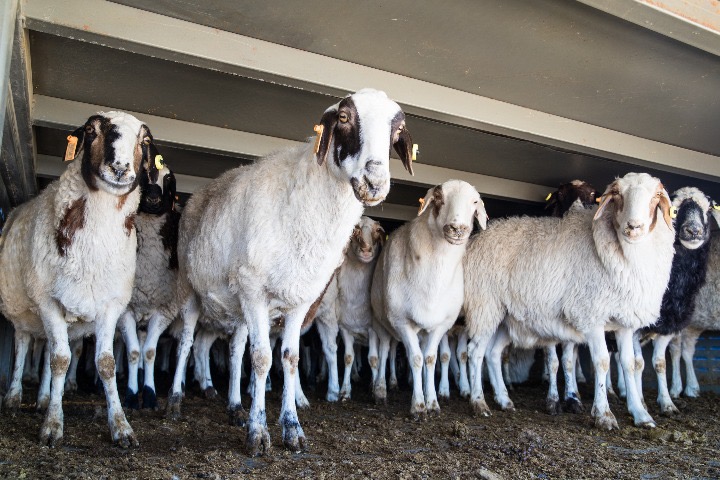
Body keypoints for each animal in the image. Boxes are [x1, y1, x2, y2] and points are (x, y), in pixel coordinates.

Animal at [0, 112, 154, 447]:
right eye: (91, 131)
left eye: (144, 141)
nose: (120, 168)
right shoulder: (47, 301)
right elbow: (60, 360)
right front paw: (52, 426)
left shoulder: (110, 305)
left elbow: (105, 365)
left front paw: (122, 427)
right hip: (23, 312)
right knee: (23, 344)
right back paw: (14, 396)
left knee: (45, 348)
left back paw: (43, 398)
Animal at [314, 216, 385, 401]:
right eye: (355, 229)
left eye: (377, 230)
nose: (366, 250)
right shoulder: (345, 328)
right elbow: (347, 357)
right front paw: (344, 391)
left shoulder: (372, 330)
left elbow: (373, 358)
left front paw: (374, 389)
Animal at [370, 180, 487, 417]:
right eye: (439, 198)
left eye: (474, 202)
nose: (458, 228)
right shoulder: (401, 321)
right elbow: (415, 359)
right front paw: (418, 406)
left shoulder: (442, 324)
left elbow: (430, 359)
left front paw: (432, 401)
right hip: (381, 321)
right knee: (385, 351)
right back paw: (380, 390)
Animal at [464, 172, 676, 429]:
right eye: (617, 195)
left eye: (656, 197)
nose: (634, 226)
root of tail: (480, 235)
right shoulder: (590, 315)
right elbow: (601, 361)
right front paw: (604, 414)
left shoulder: (624, 322)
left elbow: (628, 364)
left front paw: (641, 414)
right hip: (485, 305)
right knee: (475, 351)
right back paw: (479, 403)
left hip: (507, 316)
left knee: (493, 353)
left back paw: (504, 400)